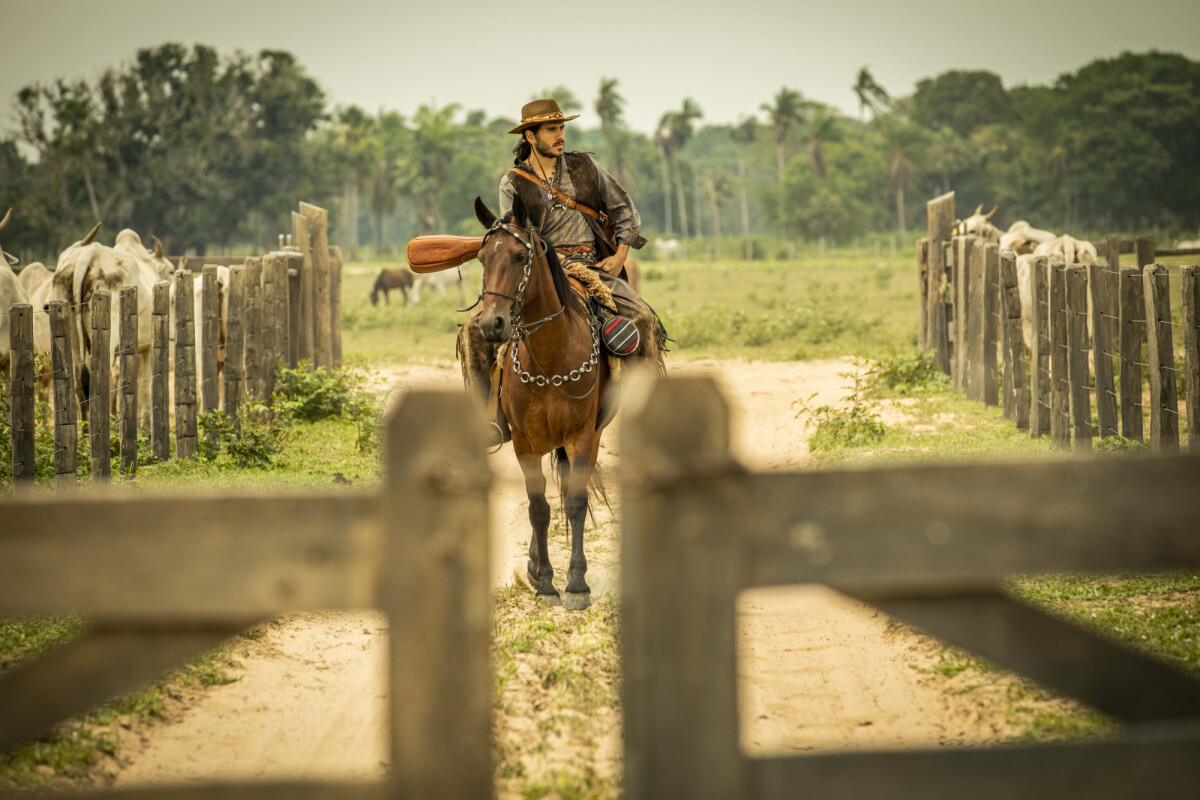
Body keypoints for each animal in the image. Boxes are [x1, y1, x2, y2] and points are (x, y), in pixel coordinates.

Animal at [472, 196, 614, 609]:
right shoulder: (524, 443)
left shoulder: (582, 437)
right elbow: (538, 509)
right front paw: (547, 582)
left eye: (520, 256)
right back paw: (535, 568)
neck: (552, 357)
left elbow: (576, 503)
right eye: (482, 258)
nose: (492, 324)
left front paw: (577, 584)